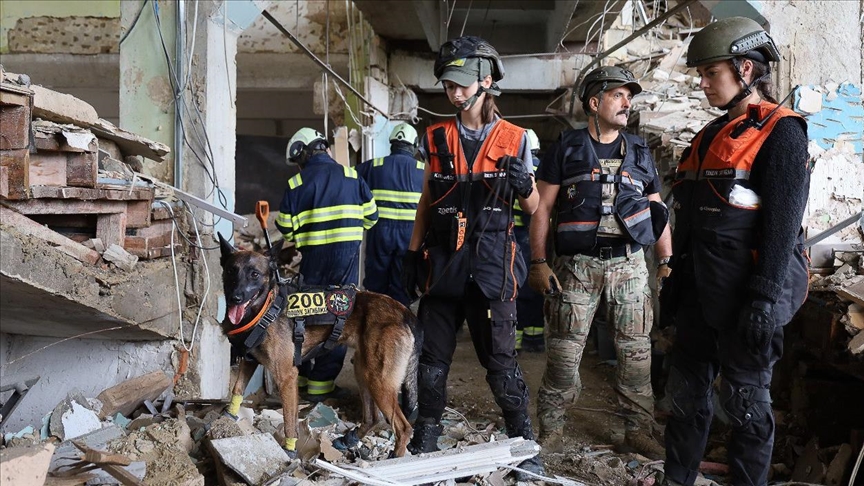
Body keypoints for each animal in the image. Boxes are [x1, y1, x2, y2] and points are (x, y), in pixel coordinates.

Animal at [218, 234, 421, 458]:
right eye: (231, 271)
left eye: (254, 274)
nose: (236, 297)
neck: (265, 308)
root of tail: (405, 313)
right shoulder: (249, 362)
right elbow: (237, 389)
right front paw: (227, 418)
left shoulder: (287, 377)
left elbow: (289, 420)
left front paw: (289, 450)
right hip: (364, 370)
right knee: (373, 417)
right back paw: (350, 439)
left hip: (379, 380)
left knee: (403, 428)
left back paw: (395, 459)